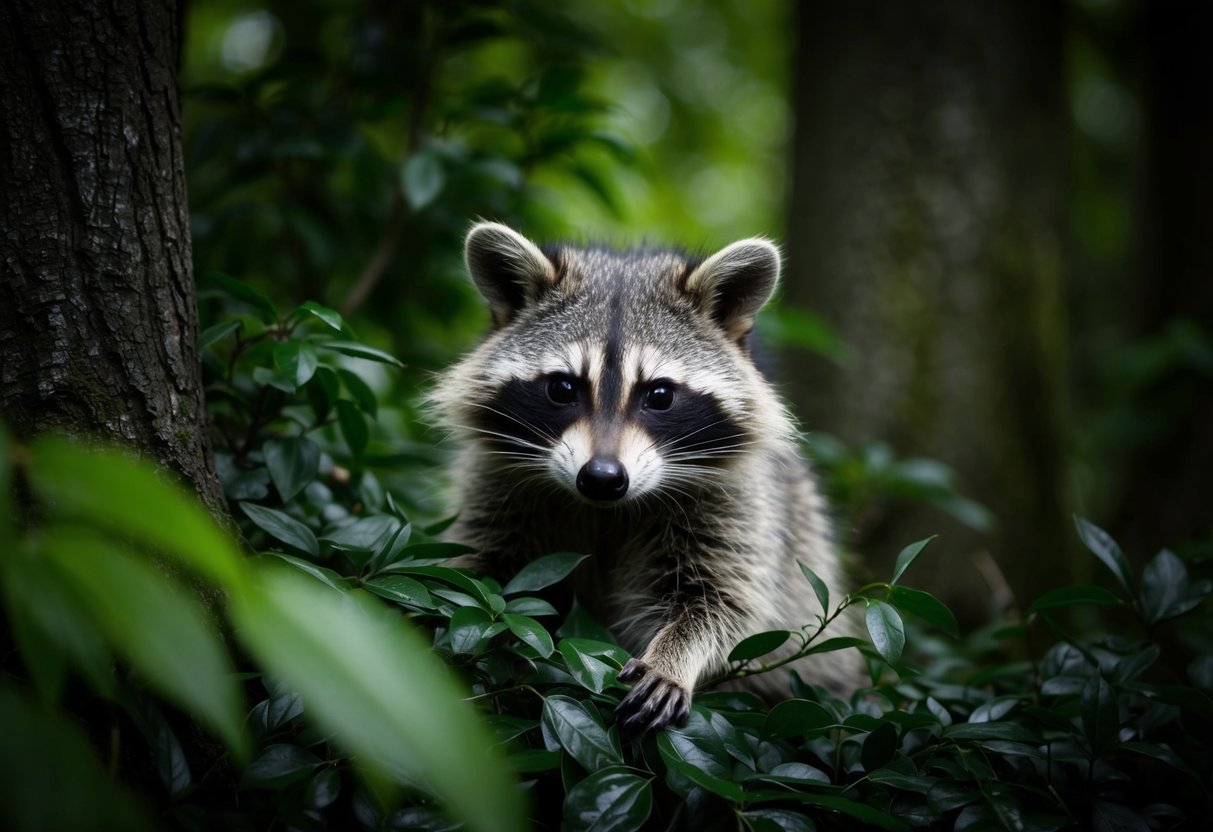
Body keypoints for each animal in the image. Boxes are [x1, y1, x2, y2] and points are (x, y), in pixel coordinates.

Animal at [431, 222, 861, 734]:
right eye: (562, 388)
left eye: (659, 395)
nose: (601, 477)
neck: (604, 508)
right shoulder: (495, 483)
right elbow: (478, 565)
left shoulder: (737, 502)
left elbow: (724, 601)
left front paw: (674, 657)